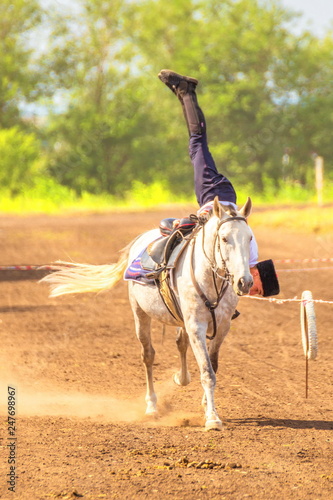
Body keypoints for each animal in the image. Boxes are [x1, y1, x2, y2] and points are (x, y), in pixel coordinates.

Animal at [42, 195, 253, 430]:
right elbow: (207, 372)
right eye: (224, 239)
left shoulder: (222, 326)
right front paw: (212, 418)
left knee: (180, 344)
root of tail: (140, 239)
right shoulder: (196, 325)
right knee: (148, 356)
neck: (209, 277)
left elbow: (212, 366)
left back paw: (181, 379)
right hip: (140, 314)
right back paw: (152, 406)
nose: (244, 282)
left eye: (249, 238)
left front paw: (206, 404)